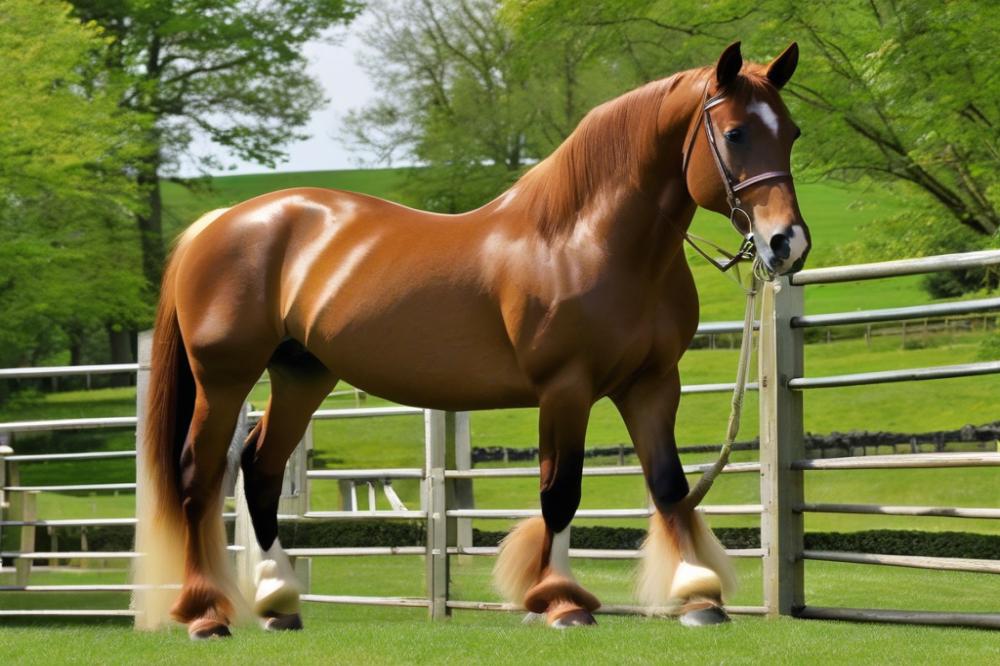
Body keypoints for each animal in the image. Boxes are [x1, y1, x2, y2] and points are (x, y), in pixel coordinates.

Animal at [131, 42, 812, 640]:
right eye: (735, 134)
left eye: (793, 132)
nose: (787, 243)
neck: (586, 240)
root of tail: (214, 225)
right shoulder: (565, 389)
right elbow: (560, 492)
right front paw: (560, 603)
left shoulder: (652, 384)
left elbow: (669, 485)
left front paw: (699, 594)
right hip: (224, 378)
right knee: (199, 477)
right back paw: (205, 614)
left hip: (302, 375)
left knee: (260, 468)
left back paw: (278, 603)